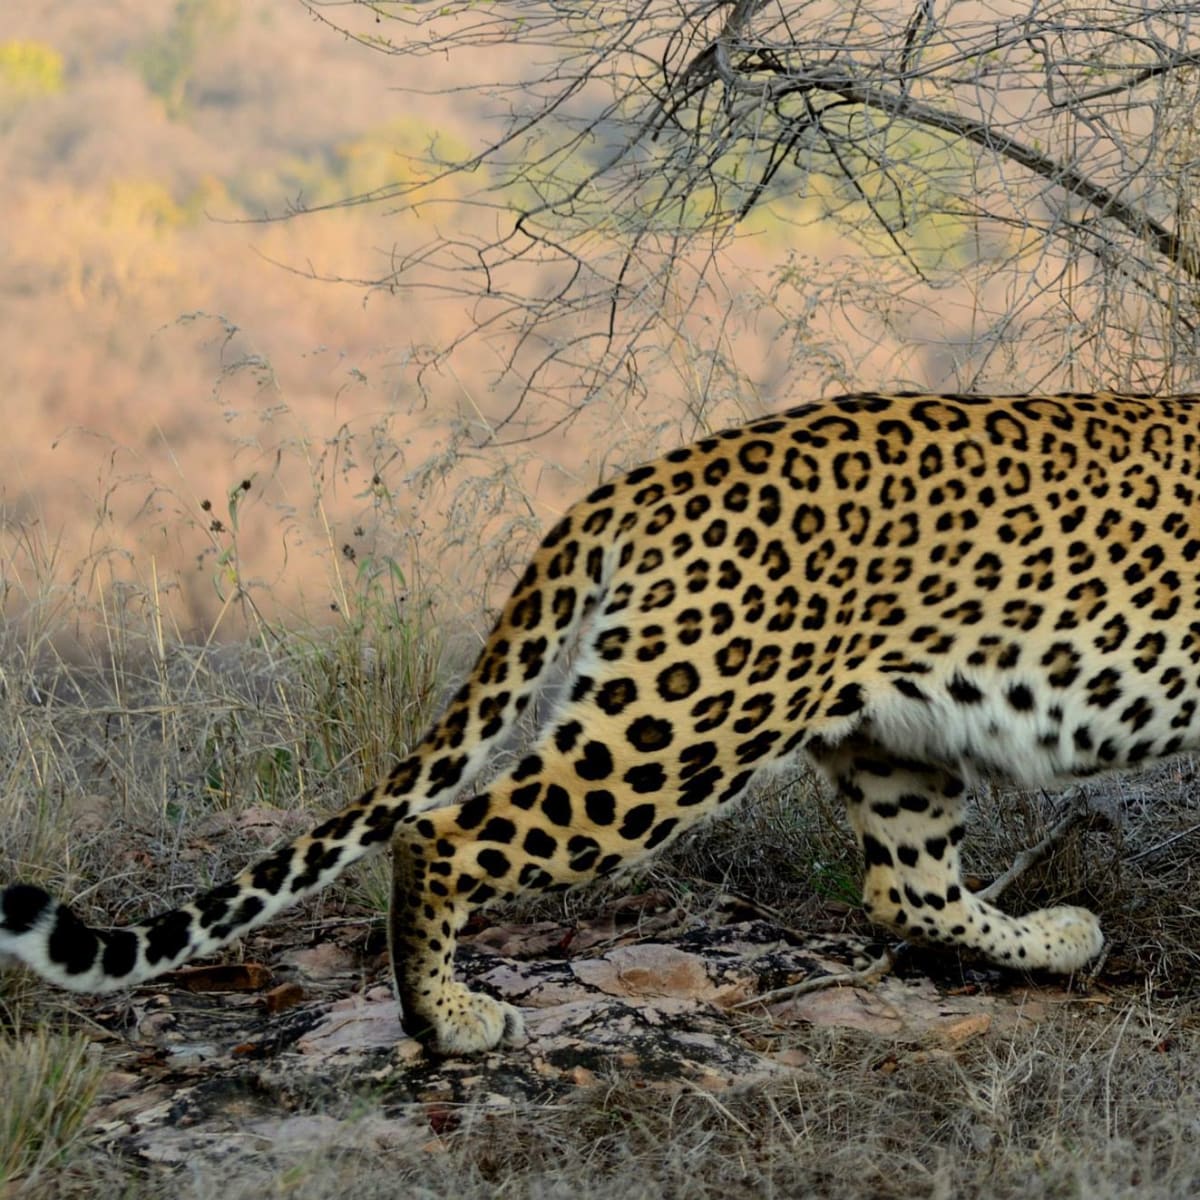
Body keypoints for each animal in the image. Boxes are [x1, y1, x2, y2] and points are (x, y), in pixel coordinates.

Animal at [5, 391, 1198, 1055]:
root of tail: (648, 475)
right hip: (681, 722)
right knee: (438, 832)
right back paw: (448, 1021)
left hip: (887, 739)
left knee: (907, 890)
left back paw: (1057, 938)